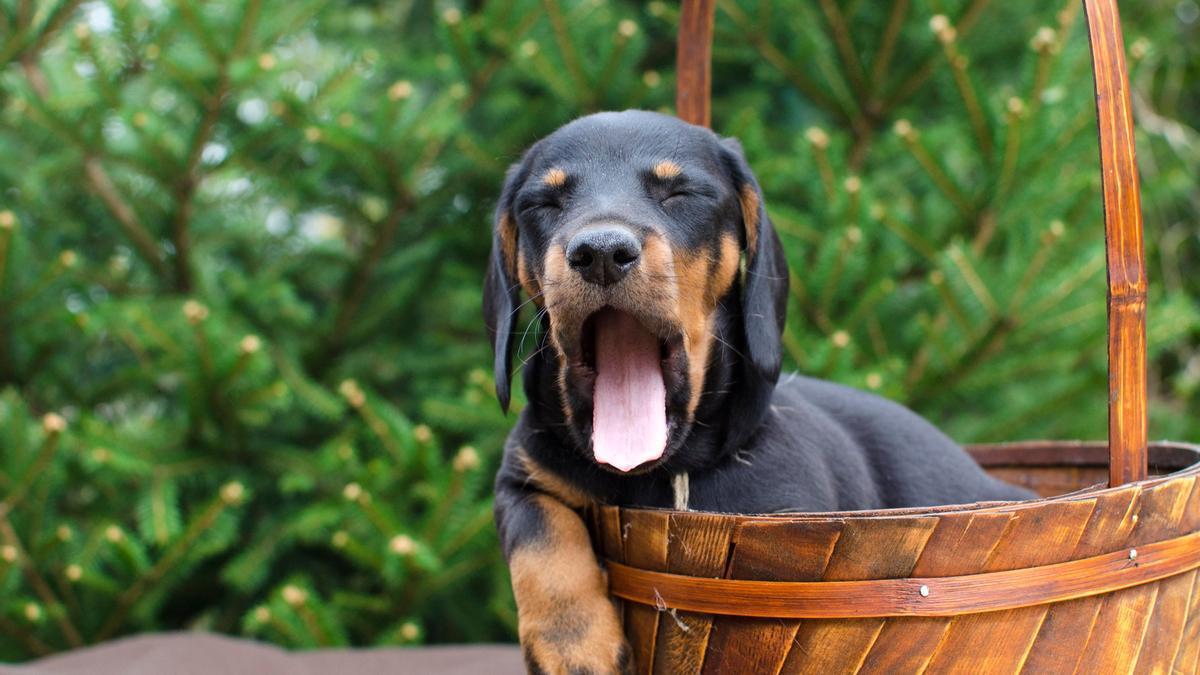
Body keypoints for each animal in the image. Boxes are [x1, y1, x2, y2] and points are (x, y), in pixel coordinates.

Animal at [480, 111, 1032, 672]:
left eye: (680, 192)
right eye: (544, 204)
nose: (600, 254)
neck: (654, 474)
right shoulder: (524, 475)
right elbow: (543, 541)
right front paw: (575, 646)